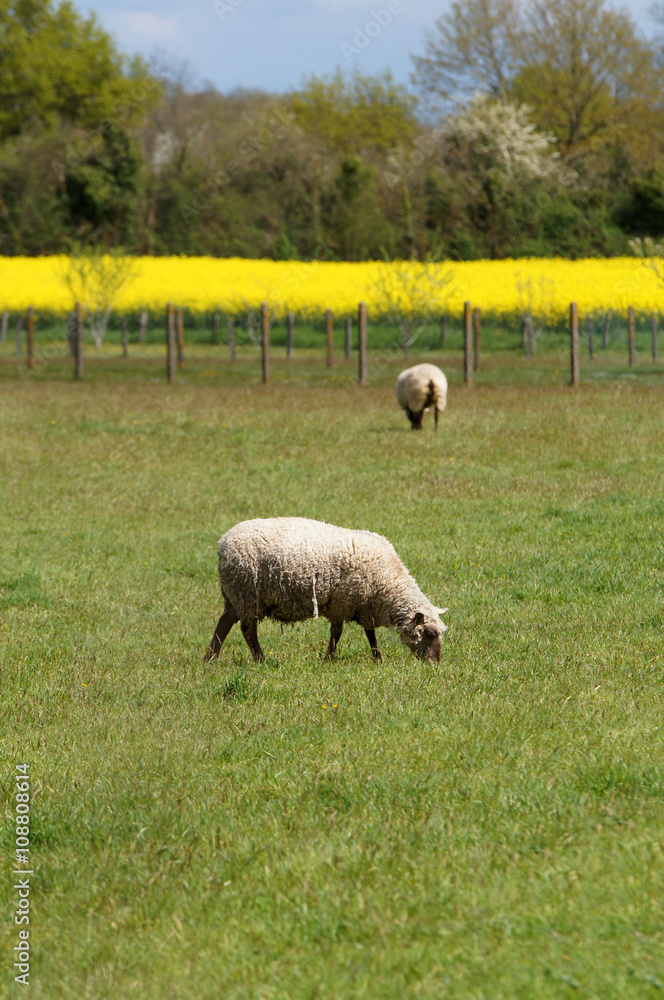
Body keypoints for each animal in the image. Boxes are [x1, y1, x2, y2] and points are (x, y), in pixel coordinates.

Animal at [205, 517, 447, 663]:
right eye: (430, 633)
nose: (435, 664)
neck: (388, 583)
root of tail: (223, 542)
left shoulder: (364, 606)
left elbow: (370, 634)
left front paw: (377, 658)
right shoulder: (341, 604)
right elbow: (337, 634)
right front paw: (328, 658)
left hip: (235, 595)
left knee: (224, 624)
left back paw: (210, 658)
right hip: (247, 594)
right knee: (248, 630)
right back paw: (260, 659)